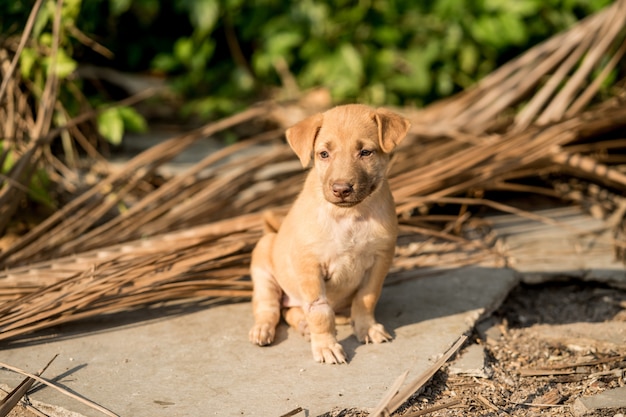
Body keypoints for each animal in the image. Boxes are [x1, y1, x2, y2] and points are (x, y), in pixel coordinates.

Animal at [249, 105, 410, 364]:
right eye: (323, 154)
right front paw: (326, 346)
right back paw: (264, 329)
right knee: (270, 308)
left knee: (291, 310)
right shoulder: (310, 265)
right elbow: (320, 310)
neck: (349, 216)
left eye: (365, 152)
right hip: (264, 265)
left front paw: (367, 328)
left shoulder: (380, 259)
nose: (341, 189)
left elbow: (366, 298)